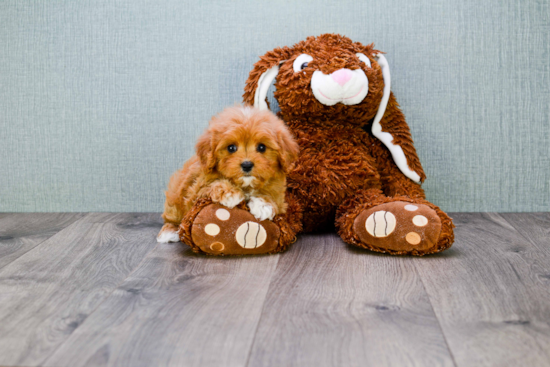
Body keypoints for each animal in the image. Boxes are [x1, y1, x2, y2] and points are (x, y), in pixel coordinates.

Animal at [157, 105, 300, 244]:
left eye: (261, 147)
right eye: (231, 148)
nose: (247, 165)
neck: (246, 185)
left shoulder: (279, 193)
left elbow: (273, 196)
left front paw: (264, 204)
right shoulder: (194, 193)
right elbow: (212, 184)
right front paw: (230, 193)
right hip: (175, 196)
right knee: (171, 217)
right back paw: (169, 231)